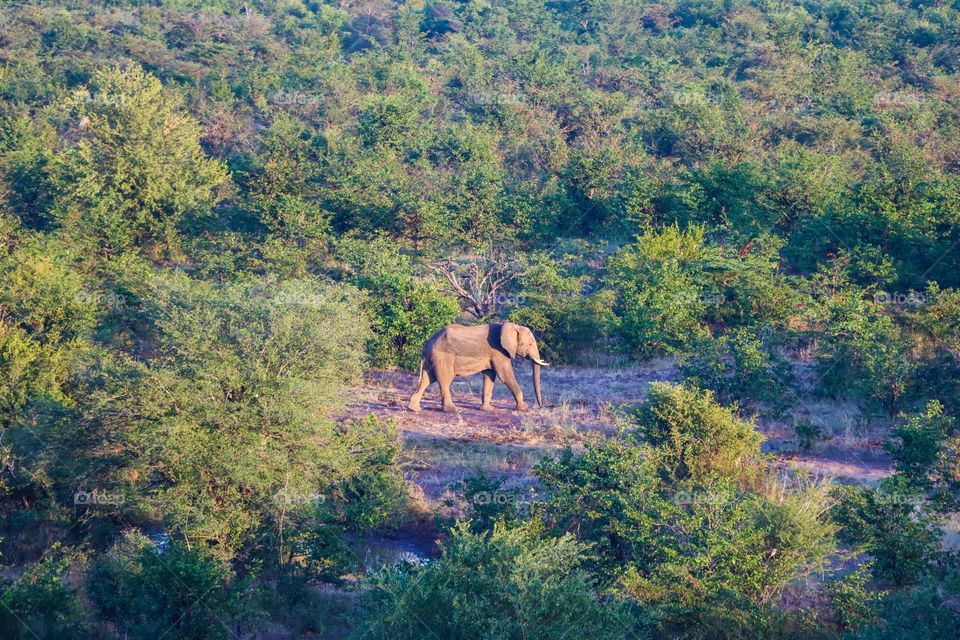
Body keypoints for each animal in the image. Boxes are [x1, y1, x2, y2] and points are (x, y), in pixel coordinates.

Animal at [407, 322, 549, 413]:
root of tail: (426, 345)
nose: (539, 407)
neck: (512, 326)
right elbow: (505, 375)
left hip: (432, 358)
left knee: (427, 379)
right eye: (530, 344)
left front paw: (487, 409)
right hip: (442, 357)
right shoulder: (498, 351)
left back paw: (414, 409)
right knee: (444, 380)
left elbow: (489, 376)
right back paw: (452, 410)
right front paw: (524, 408)